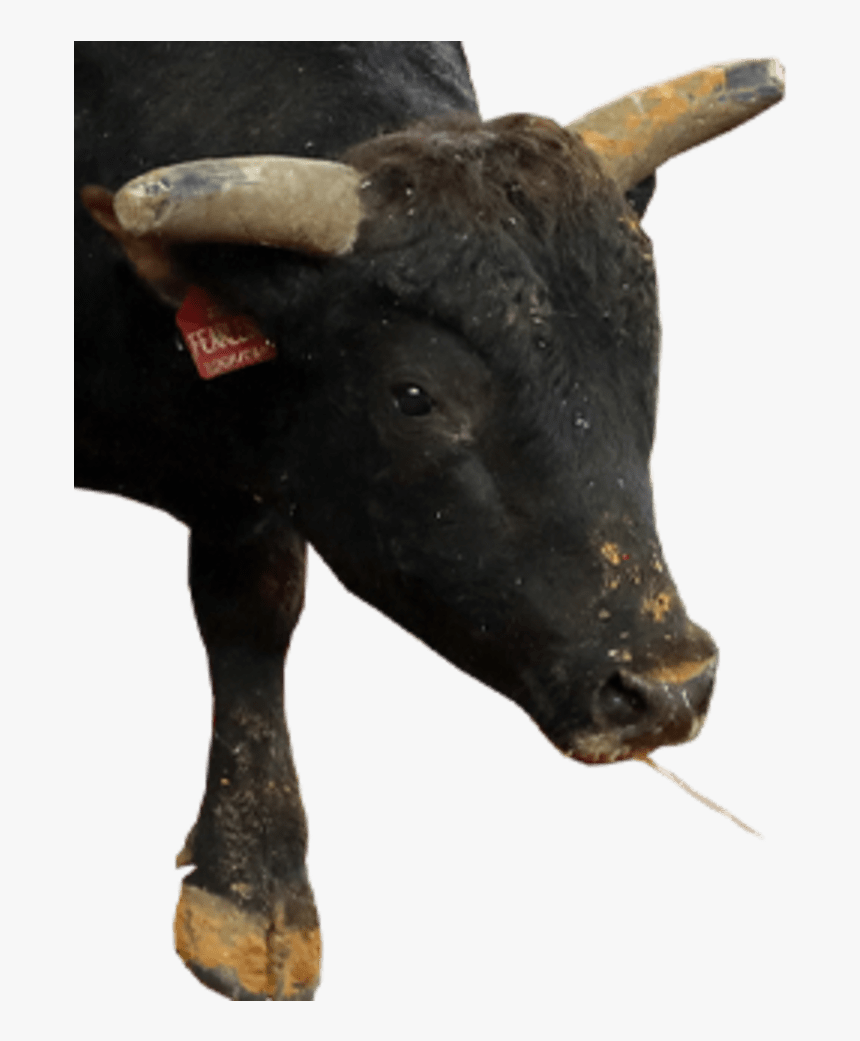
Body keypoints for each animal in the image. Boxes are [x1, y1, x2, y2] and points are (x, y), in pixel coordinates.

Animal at [75, 42, 783, 1001]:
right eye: (413, 395)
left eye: (647, 357)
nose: (666, 685)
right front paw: (248, 890)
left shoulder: (260, 473)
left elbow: (252, 610)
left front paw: (253, 880)